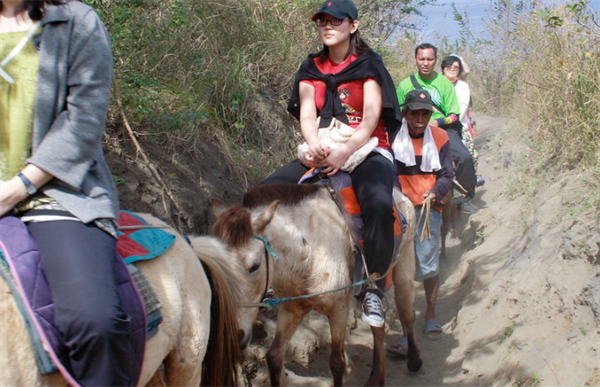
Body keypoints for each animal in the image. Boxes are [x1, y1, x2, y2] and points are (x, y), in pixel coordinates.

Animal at [211, 184, 422, 387]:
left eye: (254, 266)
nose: (233, 336)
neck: (309, 250)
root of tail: (401, 195)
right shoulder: (292, 308)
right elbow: (274, 357)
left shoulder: (339, 309)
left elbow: (337, 362)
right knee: (379, 324)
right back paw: (376, 378)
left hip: (403, 270)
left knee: (407, 313)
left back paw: (413, 360)